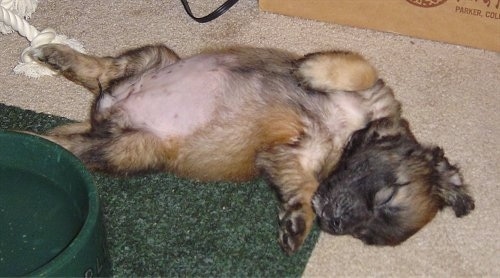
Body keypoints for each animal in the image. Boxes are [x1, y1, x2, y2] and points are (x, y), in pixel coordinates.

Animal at [26, 44, 472, 254]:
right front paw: (312, 70)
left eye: (367, 237)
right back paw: (58, 56)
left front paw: (298, 221)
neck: (346, 133)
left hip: (127, 146)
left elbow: (304, 187)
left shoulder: (290, 157)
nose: (333, 224)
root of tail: (105, 111)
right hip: (157, 59)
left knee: (71, 135)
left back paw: (39, 121)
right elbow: (360, 67)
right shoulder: (372, 92)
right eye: (386, 197)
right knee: (102, 68)